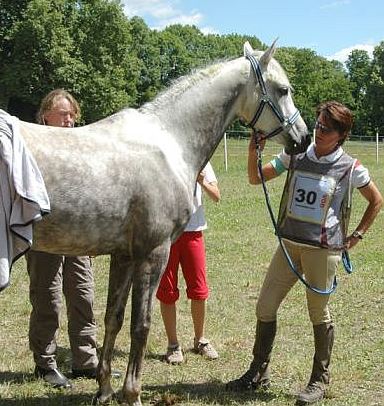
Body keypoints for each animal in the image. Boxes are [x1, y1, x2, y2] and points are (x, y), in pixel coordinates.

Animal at [19, 42, 308, 404]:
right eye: (283, 90)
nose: (303, 138)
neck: (170, 142)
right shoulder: (153, 253)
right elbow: (140, 325)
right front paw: (132, 394)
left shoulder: (124, 255)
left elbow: (113, 318)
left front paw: (104, 389)